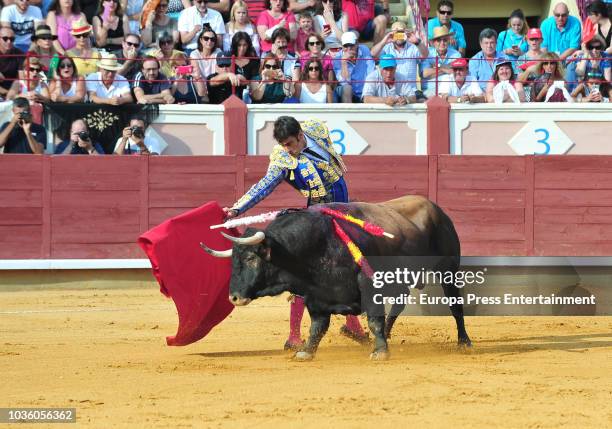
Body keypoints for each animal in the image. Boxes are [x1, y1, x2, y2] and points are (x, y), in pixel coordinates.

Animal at [202, 196, 474, 360]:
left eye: (251, 258)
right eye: (233, 261)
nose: (234, 297)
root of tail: (434, 207)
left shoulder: (368, 285)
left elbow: (373, 319)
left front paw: (380, 353)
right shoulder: (316, 295)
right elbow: (317, 326)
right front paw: (305, 352)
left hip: (448, 270)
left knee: (455, 305)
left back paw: (464, 342)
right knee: (399, 303)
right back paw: (388, 336)